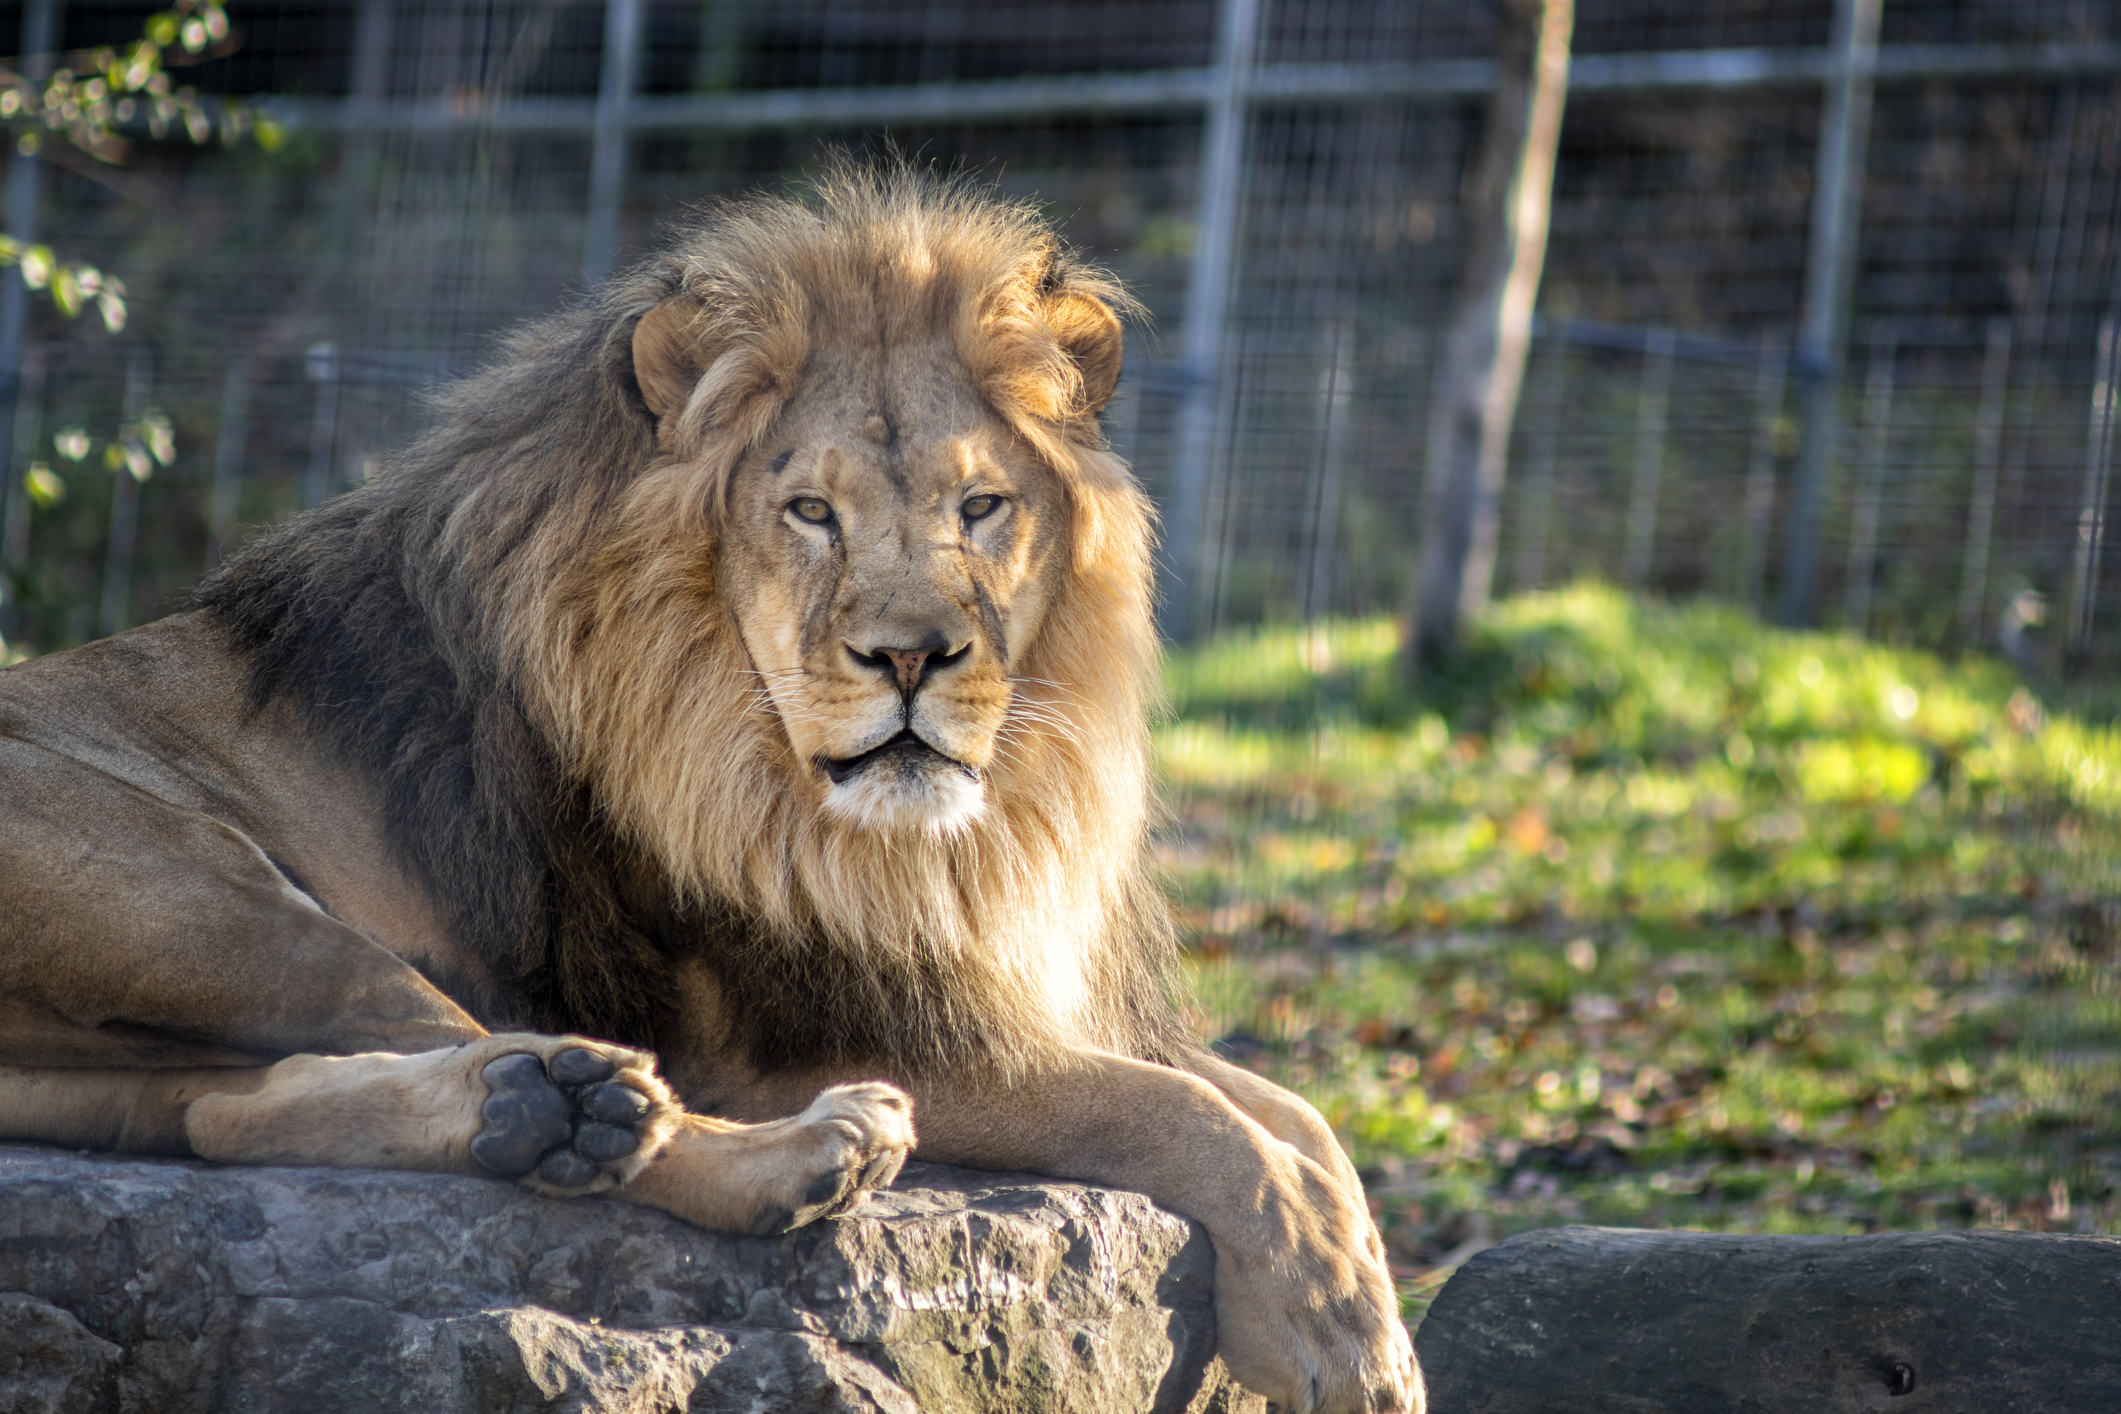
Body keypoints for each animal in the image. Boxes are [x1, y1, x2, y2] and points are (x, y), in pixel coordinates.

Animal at [4, 168, 1425, 1414]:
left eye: (980, 506)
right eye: (809, 511)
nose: (912, 655)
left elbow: (1292, 1114)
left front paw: (1365, 1302)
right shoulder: (796, 1028)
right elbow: (1189, 1114)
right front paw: (1334, 1335)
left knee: (234, 1109)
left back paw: (545, 1115)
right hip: (221, 903)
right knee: (461, 1062)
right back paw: (776, 1147)